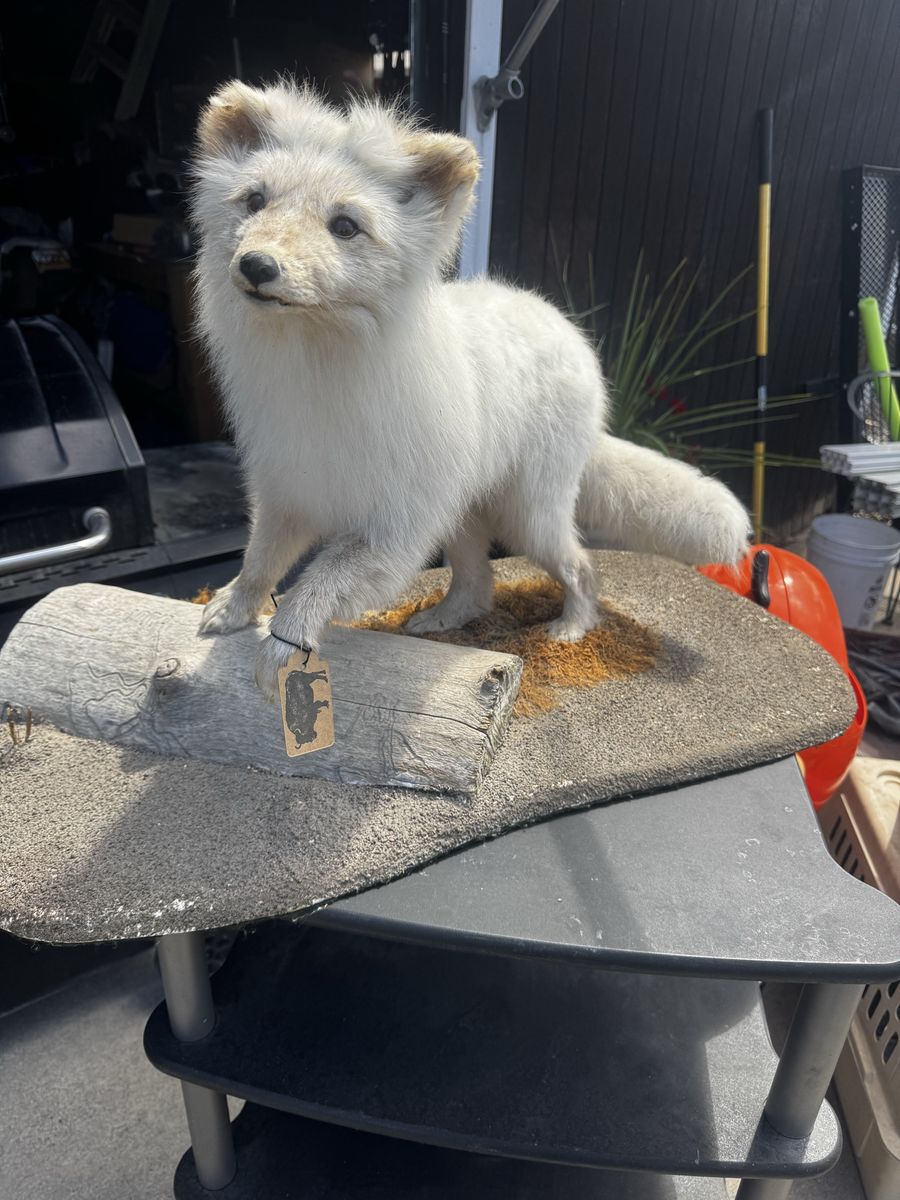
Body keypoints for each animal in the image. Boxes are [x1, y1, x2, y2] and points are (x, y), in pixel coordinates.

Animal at [191, 80, 750, 699]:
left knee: (581, 567)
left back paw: (571, 628)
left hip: (527, 513)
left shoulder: (394, 529)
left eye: (344, 226)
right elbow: (260, 561)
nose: (257, 265)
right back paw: (444, 618)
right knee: (477, 583)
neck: (317, 367)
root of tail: (565, 328)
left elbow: (319, 582)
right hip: (464, 510)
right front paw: (233, 608)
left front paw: (283, 646)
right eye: (254, 201)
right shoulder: (287, 492)